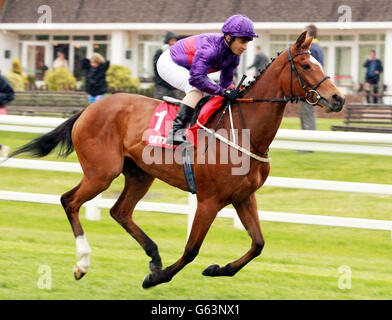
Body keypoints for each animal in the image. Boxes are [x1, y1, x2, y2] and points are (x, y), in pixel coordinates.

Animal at [9, 31, 344, 288]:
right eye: (305, 64)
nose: (338, 98)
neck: (245, 131)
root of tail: (89, 109)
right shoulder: (209, 200)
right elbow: (192, 249)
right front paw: (157, 279)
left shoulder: (243, 197)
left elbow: (258, 244)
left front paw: (217, 269)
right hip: (101, 173)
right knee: (70, 201)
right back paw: (83, 264)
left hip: (140, 174)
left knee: (120, 211)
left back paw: (153, 256)